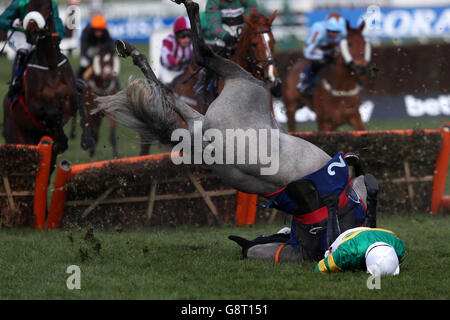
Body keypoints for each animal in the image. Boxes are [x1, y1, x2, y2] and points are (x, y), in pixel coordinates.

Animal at [1, 0, 93, 171]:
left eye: (48, 8)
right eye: (28, 7)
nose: (32, 32)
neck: (50, 65)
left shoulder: (70, 98)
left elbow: (74, 102)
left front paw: (83, 140)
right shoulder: (33, 105)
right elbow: (51, 111)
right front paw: (61, 139)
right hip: (18, 137)